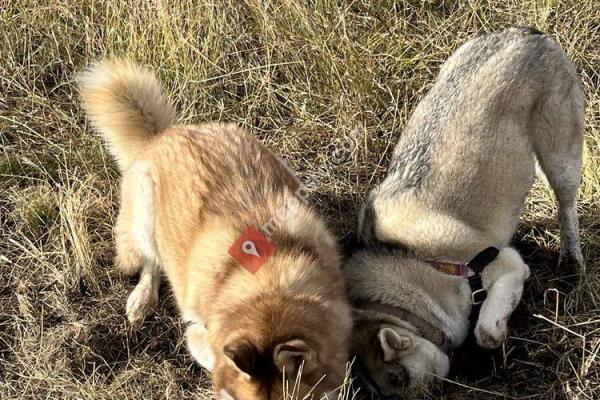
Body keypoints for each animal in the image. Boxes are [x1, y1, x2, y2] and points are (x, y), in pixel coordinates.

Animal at [79, 60, 352, 400]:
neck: (270, 287)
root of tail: (165, 133)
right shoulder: (204, 336)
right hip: (144, 214)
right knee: (150, 262)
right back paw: (141, 300)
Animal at [344, 28, 584, 396]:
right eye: (384, 393)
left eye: (400, 378)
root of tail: (528, 33)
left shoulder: (503, 263)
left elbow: (485, 331)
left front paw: (499, 334)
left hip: (561, 158)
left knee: (566, 205)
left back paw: (571, 258)